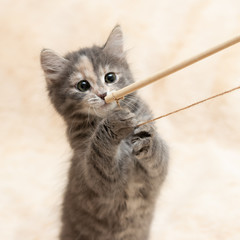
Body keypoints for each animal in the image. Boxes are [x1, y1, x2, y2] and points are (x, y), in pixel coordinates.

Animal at [40, 26, 169, 240]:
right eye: (82, 85)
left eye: (110, 77)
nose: (103, 94)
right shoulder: (95, 176)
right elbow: (100, 152)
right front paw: (115, 122)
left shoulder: (155, 176)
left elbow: (159, 156)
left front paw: (146, 138)